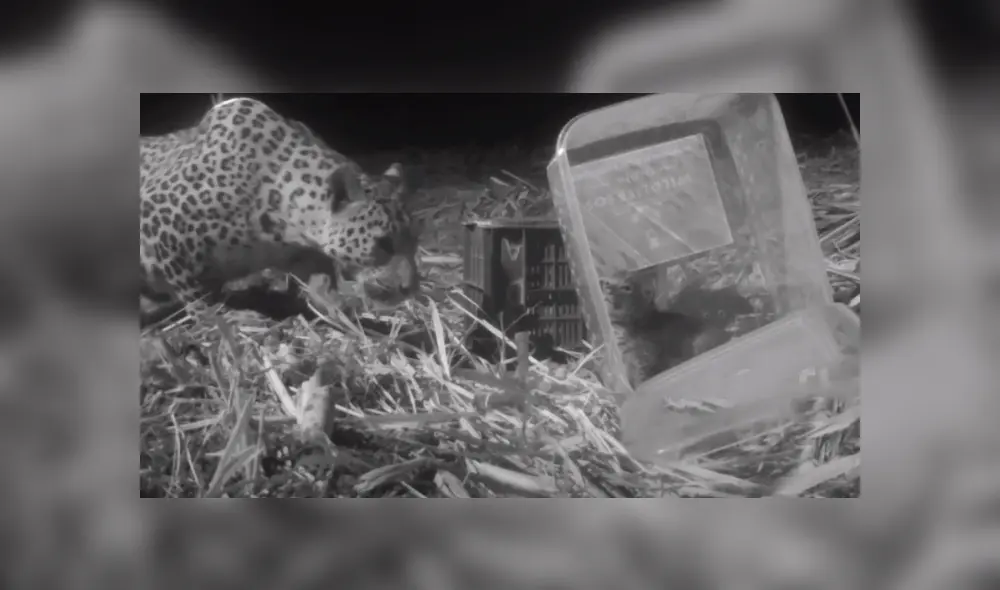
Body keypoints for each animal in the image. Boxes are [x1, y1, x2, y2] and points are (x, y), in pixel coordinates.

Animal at [139, 97, 424, 326]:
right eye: (384, 243)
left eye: (414, 242)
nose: (411, 288)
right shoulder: (159, 223)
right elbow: (195, 293)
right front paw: (224, 319)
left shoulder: (305, 255)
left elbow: (321, 284)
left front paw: (340, 313)